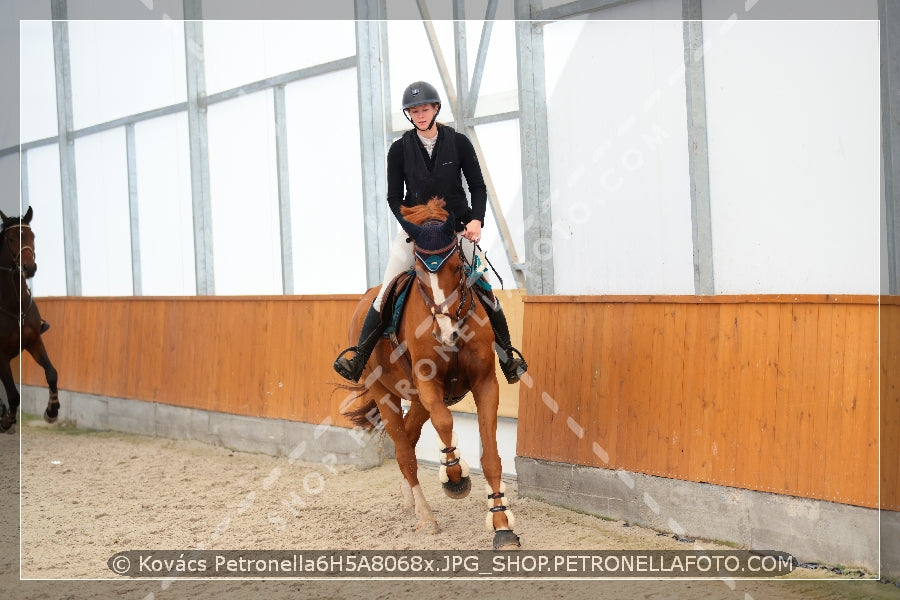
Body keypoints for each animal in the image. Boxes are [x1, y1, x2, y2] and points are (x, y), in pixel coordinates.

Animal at [0, 206, 59, 432]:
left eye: (32, 236)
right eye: (10, 239)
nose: (29, 268)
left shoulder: (34, 340)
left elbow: (51, 373)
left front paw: (52, 411)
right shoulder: (1, 356)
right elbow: (13, 395)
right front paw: (7, 420)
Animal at [338, 199, 520, 552]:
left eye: (457, 269)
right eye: (420, 275)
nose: (445, 334)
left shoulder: (485, 383)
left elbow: (491, 455)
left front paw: (501, 525)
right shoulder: (427, 382)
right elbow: (446, 423)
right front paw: (455, 478)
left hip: (417, 400)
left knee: (408, 439)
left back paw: (409, 502)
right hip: (385, 393)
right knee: (405, 451)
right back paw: (425, 516)